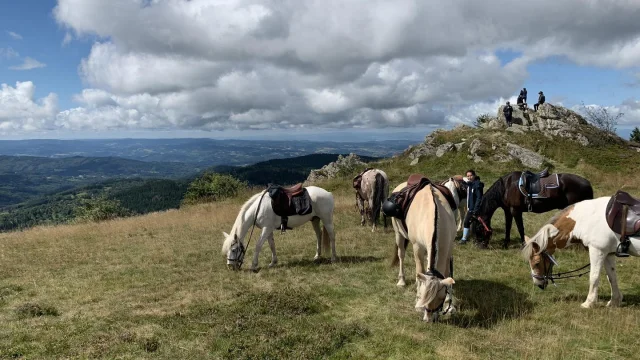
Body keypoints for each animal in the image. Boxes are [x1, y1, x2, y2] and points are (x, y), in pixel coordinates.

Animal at [388, 180, 458, 324]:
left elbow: (447, 274)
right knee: (401, 255)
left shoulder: (448, 249)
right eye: (424, 296)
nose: (428, 319)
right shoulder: (417, 248)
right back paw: (401, 281)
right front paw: (417, 303)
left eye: (441, 297)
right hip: (399, 234)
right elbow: (419, 271)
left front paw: (450, 305)